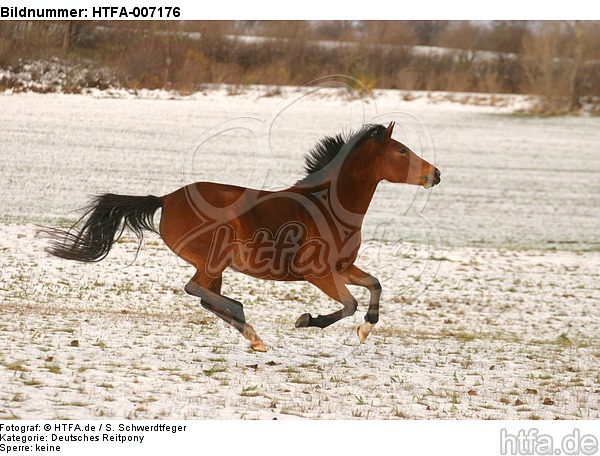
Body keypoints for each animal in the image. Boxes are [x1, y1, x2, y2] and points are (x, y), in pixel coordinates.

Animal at [41, 120, 436, 350]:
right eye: (402, 150)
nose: (436, 174)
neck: (328, 206)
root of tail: (166, 199)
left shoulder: (342, 268)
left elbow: (375, 285)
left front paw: (366, 330)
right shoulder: (318, 272)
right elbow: (350, 303)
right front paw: (307, 320)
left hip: (215, 264)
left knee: (205, 296)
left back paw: (250, 332)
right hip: (215, 257)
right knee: (196, 289)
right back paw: (245, 319)